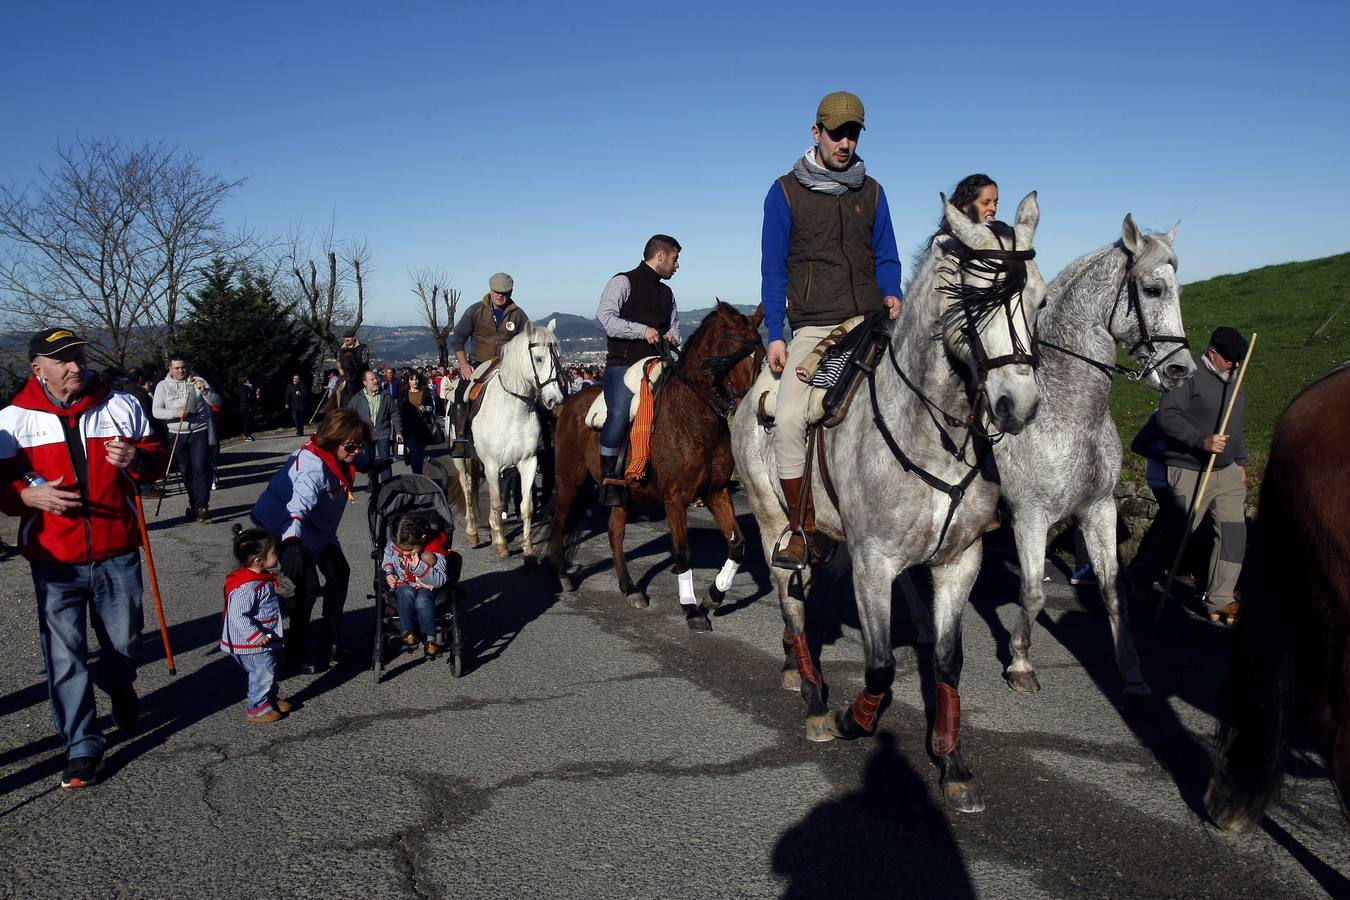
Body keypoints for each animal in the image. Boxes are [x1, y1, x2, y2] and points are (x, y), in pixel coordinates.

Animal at [448, 319, 564, 558]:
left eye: (559, 356)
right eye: (539, 358)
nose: (555, 400)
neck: (513, 408)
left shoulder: (528, 462)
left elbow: (526, 506)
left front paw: (527, 546)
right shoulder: (492, 465)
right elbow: (496, 503)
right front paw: (501, 543)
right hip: (460, 459)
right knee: (467, 489)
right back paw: (473, 533)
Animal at [545, 302, 761, 634]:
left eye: (762, 355)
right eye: (732, 356)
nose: (750, 407)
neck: (692, 418)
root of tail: (565, 405)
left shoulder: (716, 492)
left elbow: (737, 543)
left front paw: (713, 596)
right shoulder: (675, 498)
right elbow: (683, 551)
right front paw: (691, 608)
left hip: (621, 493)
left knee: (615, 531)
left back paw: (629, 587)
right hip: (570, 478)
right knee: (559, 521)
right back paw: (563, 575)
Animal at [739, 194, 1042, 814]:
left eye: (1041, 299)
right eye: (976, 299)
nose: (1018, 405)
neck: (935, 432)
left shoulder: (959, 562)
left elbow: (947, 662)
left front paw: (951, 762)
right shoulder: (873, 564)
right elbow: (879, 666)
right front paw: (853, 720)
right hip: (772, 521)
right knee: (791, 601)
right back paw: (813, 699)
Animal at [993, 214, 1193, 707]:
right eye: (1153, 289)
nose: (1182, 371)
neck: (1069, 411)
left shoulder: (1099, 509)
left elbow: (1112, 592)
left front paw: (1134, 675)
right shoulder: (1029, 515)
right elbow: (1031, 594)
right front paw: (1021, 664)